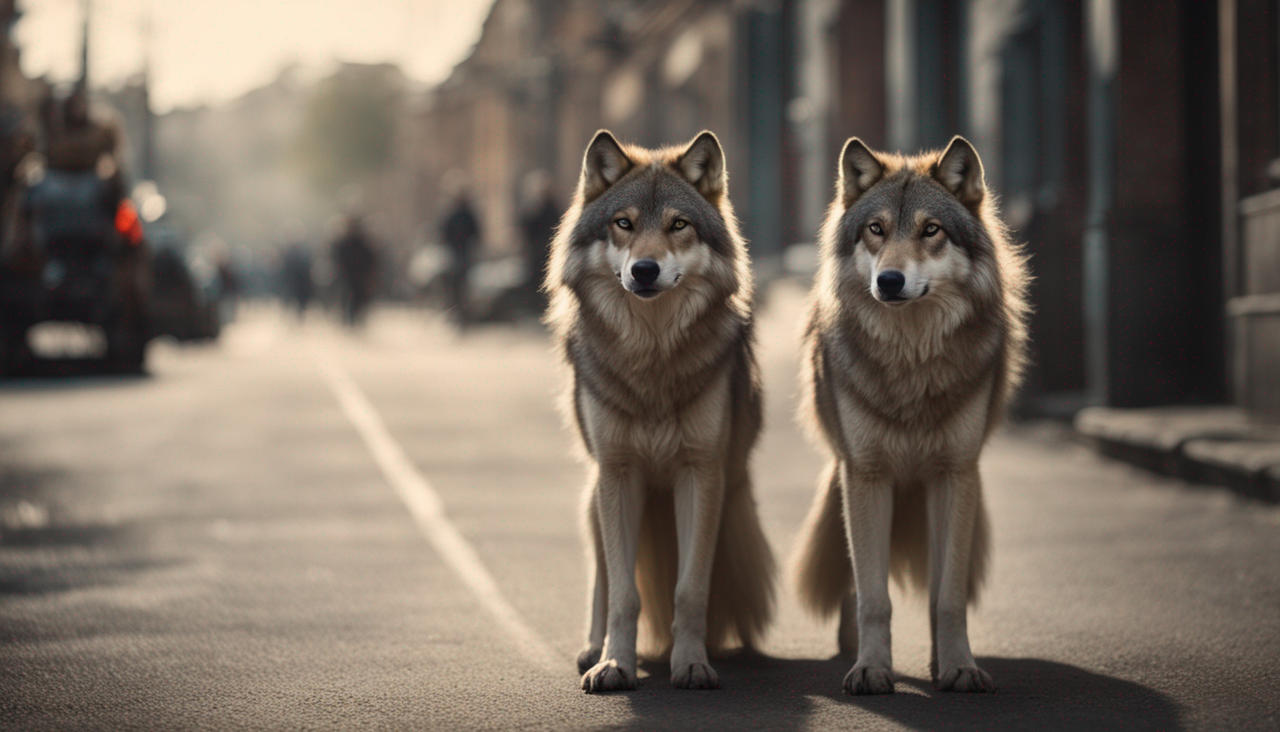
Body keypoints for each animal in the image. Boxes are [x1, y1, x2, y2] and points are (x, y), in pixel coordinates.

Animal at [544, 130, 775, 692]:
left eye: (678, 224)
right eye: (624, 223)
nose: (644, 269)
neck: (651, 357)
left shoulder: (701, 474)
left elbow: (689, 590)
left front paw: (691, 663)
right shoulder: (619, 473)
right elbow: (624, 593)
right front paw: (613, 664)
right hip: (595, 498)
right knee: (603, 578)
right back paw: (592, 648)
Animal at [791, 136, 1029, 694]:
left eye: (931, 230)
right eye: (876, 229)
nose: (890, 280)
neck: (911, 363)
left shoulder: (955, 476)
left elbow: (948, 596)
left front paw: (959, 667)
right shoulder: (866, 475)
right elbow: (874, 596)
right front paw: (871, 669)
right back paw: (851, 650)